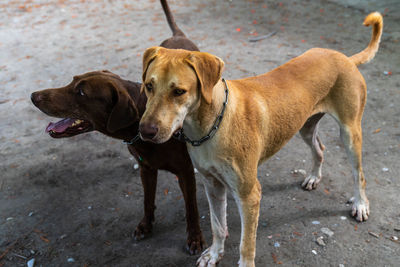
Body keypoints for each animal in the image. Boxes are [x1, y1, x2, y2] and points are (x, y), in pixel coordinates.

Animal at [30, 0, 205, 255]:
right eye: (73, 80)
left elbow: (191, 209)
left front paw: (195, 238)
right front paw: (145, 225)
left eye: (81, 92)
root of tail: (178, 35)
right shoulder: (146, 168)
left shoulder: (184, 173)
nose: (34, 96)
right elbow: (147, 200)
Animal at [138, 12, 384, 266]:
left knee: (359, 174)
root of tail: (345, 58)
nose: (145, 131)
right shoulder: (212, 185)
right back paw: (314, 176)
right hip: (305, 127)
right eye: (149, 86)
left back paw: (360, 204)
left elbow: (246, 245)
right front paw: (215, 254)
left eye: (179, 92)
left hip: (350, 132)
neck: (211, 125)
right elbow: (217, 226)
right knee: (320, 148)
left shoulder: (249, 195)